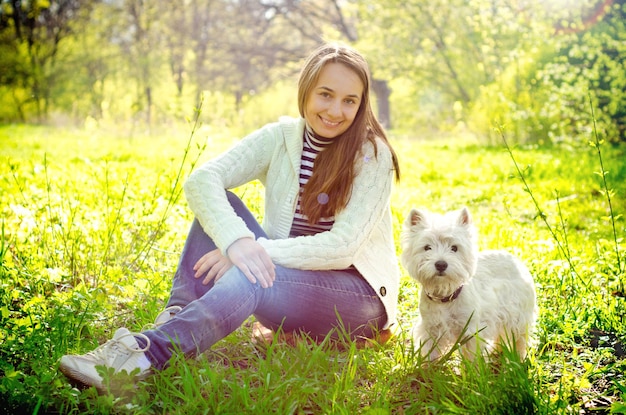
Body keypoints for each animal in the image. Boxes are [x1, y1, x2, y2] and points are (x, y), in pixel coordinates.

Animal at [400, 208, 536, 360]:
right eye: (427, 247)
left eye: (454, 248)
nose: (441, 264)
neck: (445, 297)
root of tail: (515, 259)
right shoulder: (430, 328)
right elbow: (430, 351)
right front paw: (427, 364)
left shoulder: (471, 330)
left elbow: (472, 356)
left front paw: (474, 366)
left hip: (518, 315)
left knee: (519, 338)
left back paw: (517, 357)